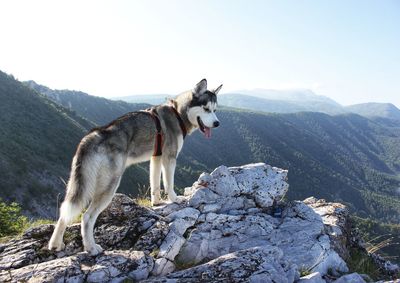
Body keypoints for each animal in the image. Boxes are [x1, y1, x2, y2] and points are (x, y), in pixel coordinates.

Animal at [48, 79, 222, 256]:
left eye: (215, 110)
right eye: (206, 109)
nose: (217, 123)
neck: (178, 113)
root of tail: (93, 136)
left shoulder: (156, 158)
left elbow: (155, 185)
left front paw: (157, 202)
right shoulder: (169, 158)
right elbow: (168, 183)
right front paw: (175, 199)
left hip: (78, 184)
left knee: (64, 212)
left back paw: (55, 244)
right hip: (109, 186)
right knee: (87, 217)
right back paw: (91, 247)